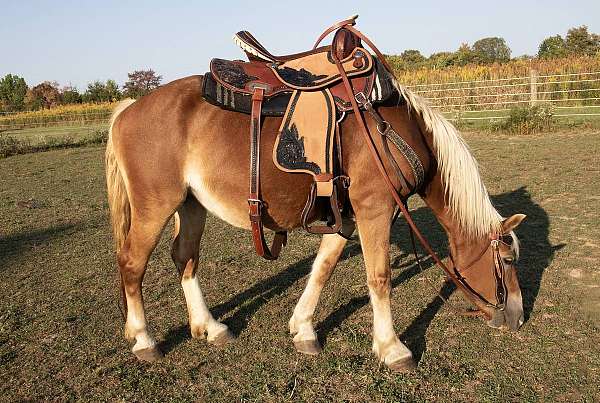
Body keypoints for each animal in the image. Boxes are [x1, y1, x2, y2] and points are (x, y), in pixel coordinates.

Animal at [103, 22, 524, 370]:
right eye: (507, 259)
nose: (519, 317)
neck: (395, 129)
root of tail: (128, 109)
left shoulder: (348, 215)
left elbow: (323, 268)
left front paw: (303, 328)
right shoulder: (375, 208)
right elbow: (379, 277)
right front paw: (392, 348)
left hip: (191, 205)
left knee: (184, 258)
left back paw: (210, 327)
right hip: (154, 207)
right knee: (132, 263)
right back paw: (144, 340)